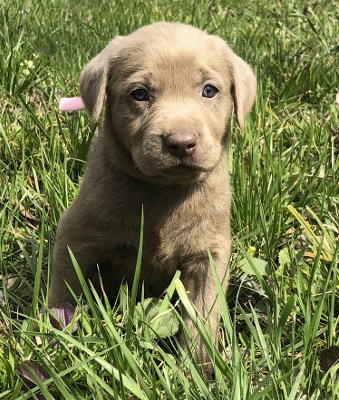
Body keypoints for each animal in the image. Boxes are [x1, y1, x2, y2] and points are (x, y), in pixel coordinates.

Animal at [50, 22, 256, 378]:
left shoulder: (208, 257)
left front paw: (197, 371)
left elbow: (202, 316)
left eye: (209, 91)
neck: (163, 191)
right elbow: (64, 292)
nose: (181, 142)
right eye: (140, 94)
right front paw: (55, 342)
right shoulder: (75, 237)